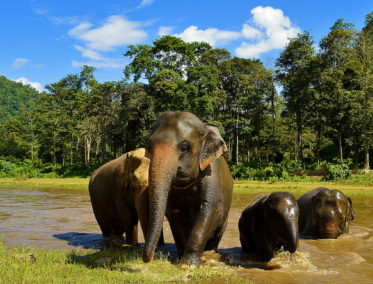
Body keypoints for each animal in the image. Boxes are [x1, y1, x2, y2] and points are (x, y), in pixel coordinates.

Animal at [141, 111, 231, 266]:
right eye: (149, 147)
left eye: (184, 146)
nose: (146, 259)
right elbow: (174, 214)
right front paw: (181, 259)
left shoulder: (212, 175)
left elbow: (211, 209)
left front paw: (188, 265)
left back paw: (209, 252)